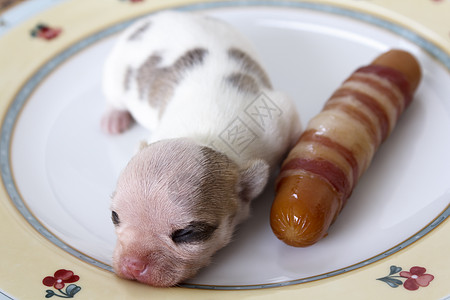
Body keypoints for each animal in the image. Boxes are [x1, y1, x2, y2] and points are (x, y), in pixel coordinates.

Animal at [100, 10, 300, 288]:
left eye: (187, 233)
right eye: (114, 216)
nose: (132, 265)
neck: (204, 136)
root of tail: (158, 16)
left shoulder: (279, 118)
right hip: (115, 73)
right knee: (113, 97)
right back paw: (113, 117)